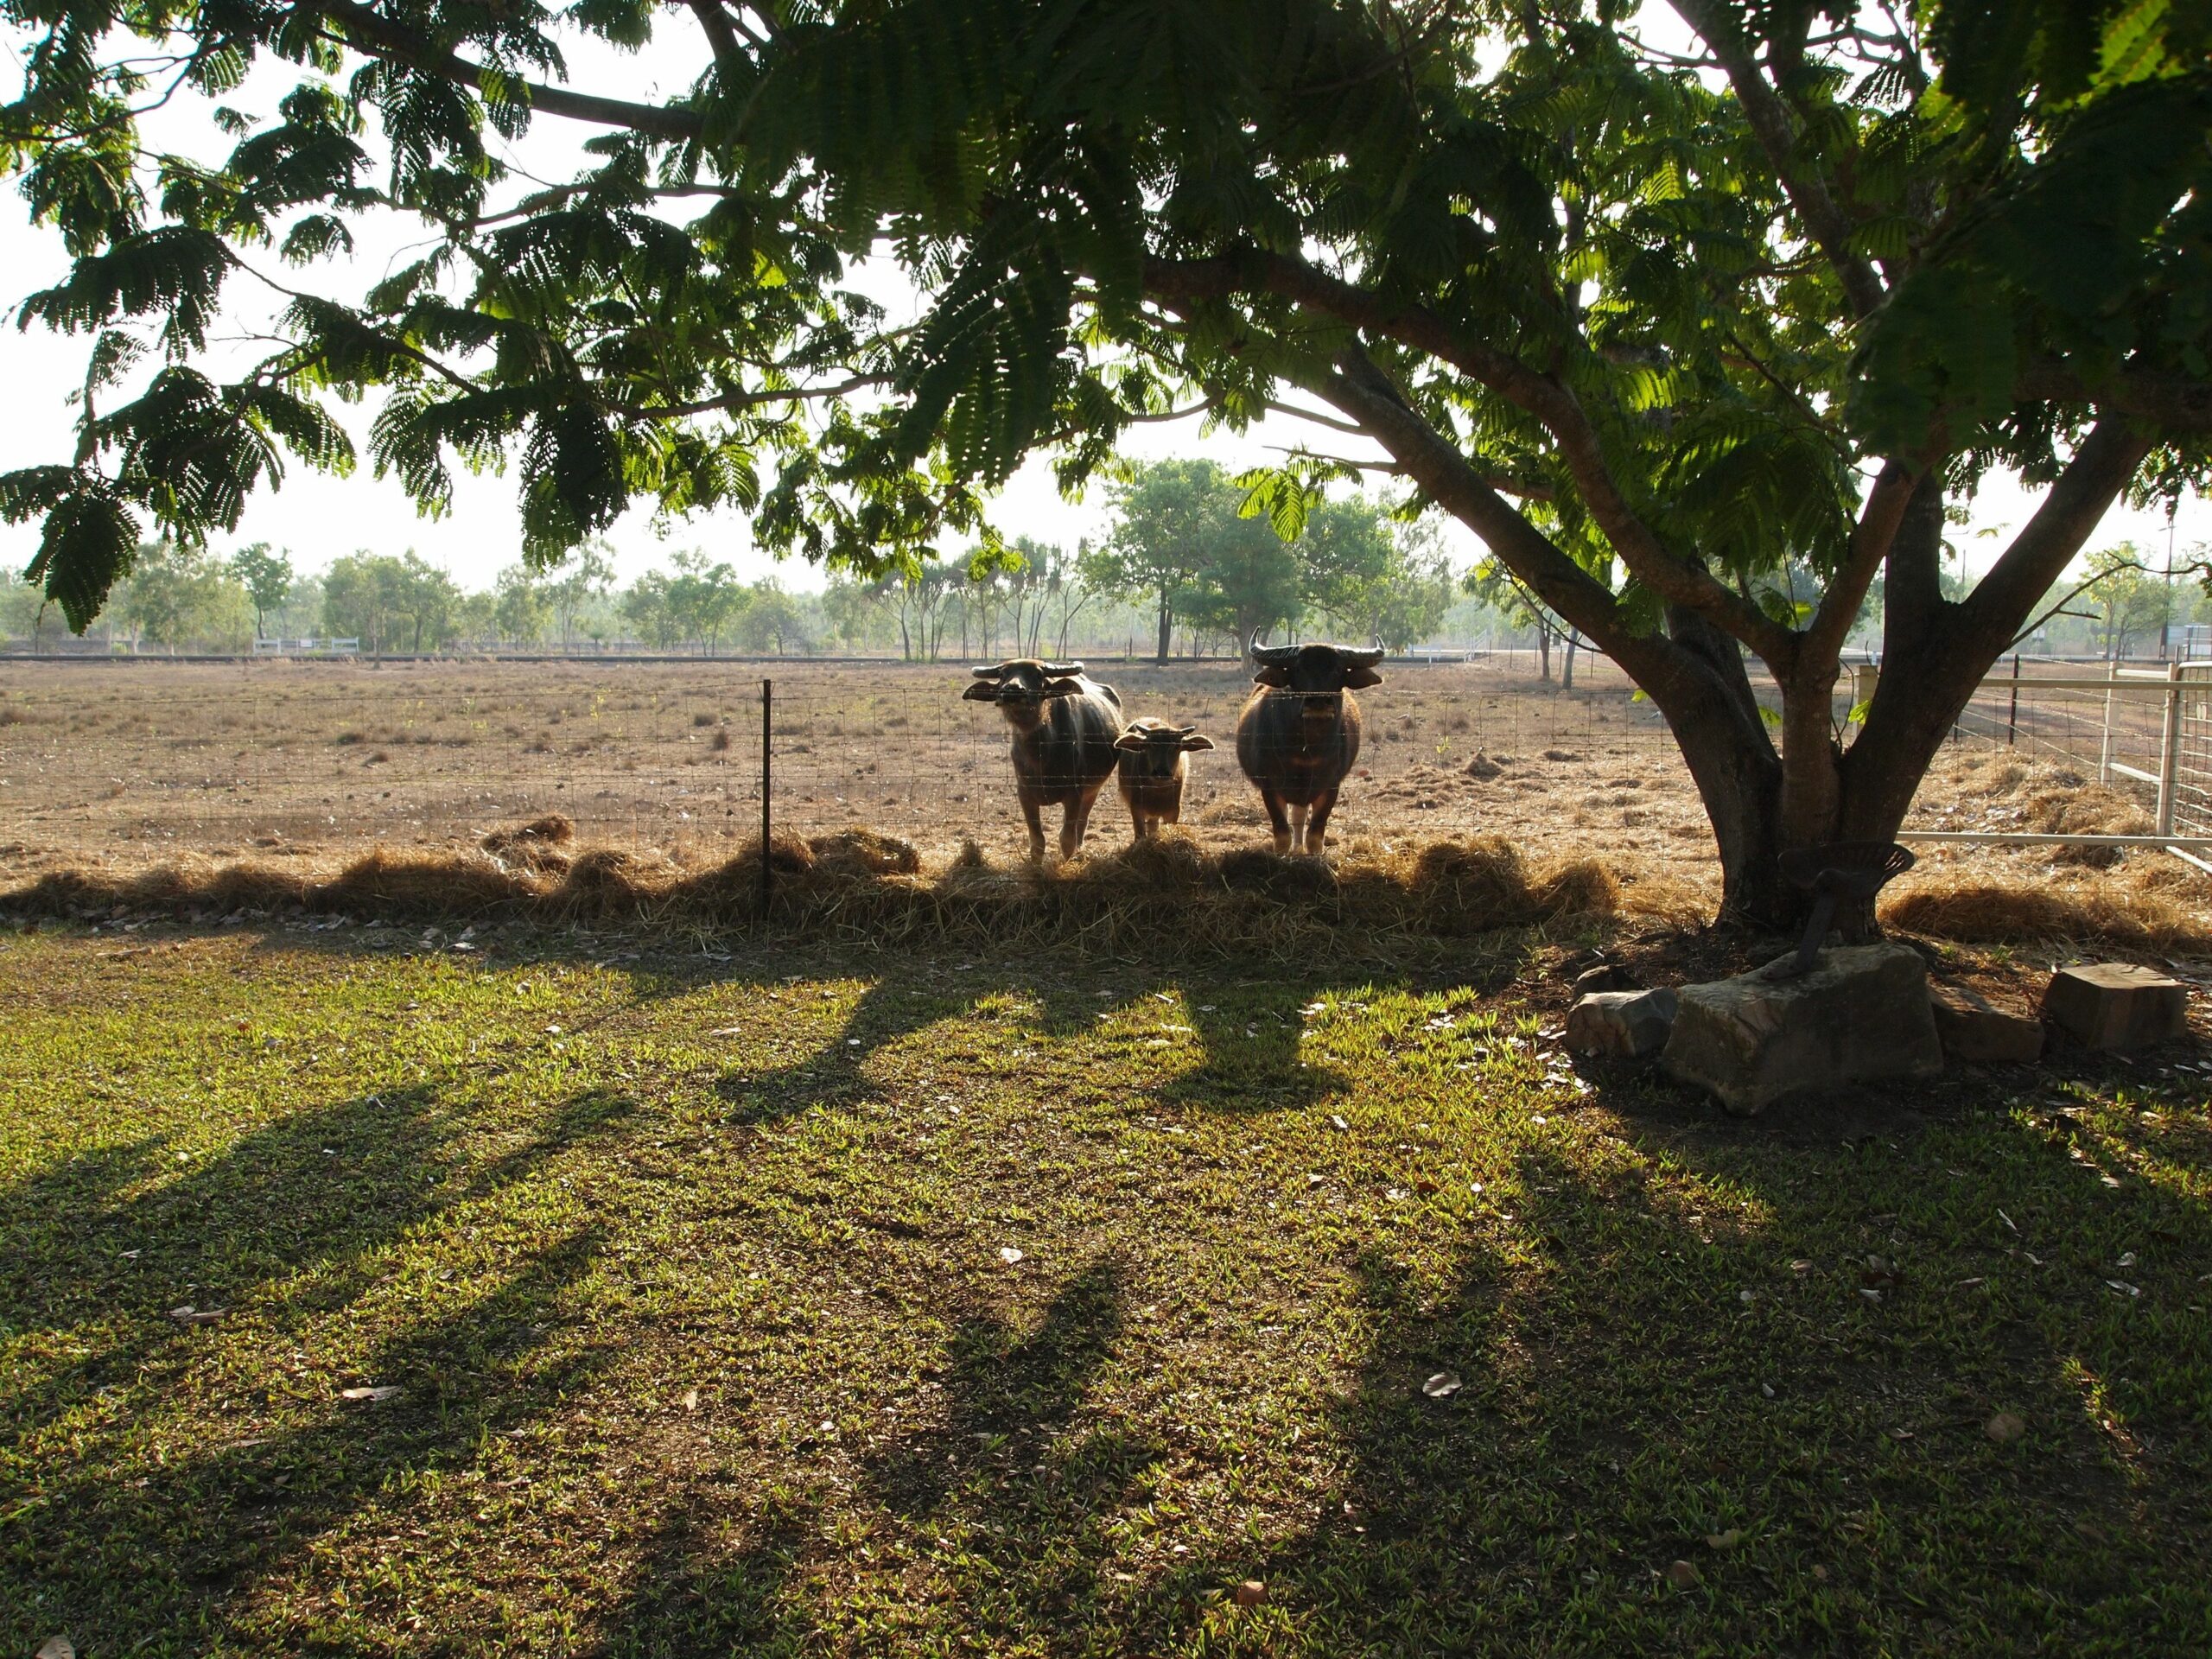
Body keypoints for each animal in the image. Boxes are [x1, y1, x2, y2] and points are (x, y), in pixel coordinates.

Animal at [960, 658, 1123, 862]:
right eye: (1002, 675)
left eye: (1038, 675)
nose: (1012, 690)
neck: (1040, 755)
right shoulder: (1025, 794)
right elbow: (1037, 841)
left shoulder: (1075, 793)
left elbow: (1066, 839)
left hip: (1093, 789)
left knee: (1082, 821)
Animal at [1115, 716, 1221, 844]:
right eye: (1150, 745)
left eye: (1177, 746)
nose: (1162, 772)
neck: (1158, 791)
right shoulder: (1136, 808)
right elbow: (1139, 834)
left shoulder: (1174, 811)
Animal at [1230, 637, 1380, 858]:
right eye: (1299, 668)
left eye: (1338, 669)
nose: (1318, 702)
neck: (1307, 752)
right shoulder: (1270, 787)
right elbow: (1282, 834)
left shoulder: (1331, 786)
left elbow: (1315, 835)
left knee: (1299, 817)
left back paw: (1299, 848)